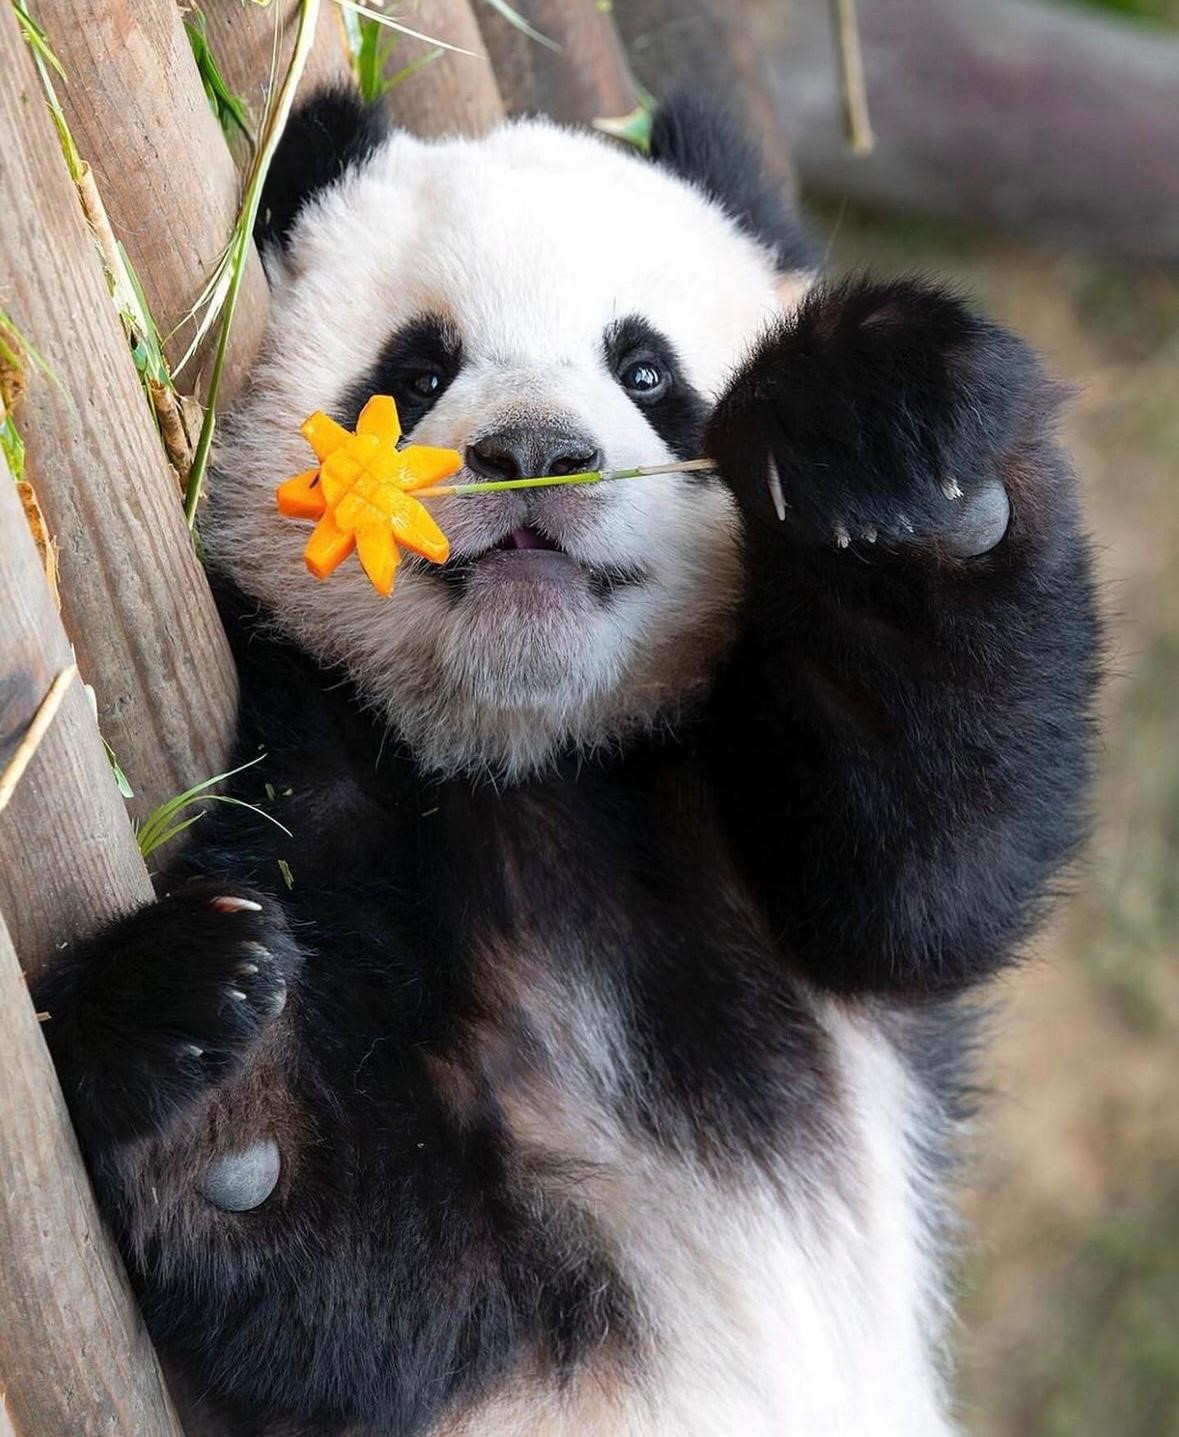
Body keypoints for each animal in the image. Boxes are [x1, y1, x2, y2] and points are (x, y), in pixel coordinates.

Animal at [39, 89, 1098, 1436]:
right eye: (418, 370)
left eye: (644, 370)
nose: (536, 452)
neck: (526, 755)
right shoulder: (305, 777)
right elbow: (392, 1301)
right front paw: (204, 1069)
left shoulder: (737, 838)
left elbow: (923, 877)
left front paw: (883, 426)